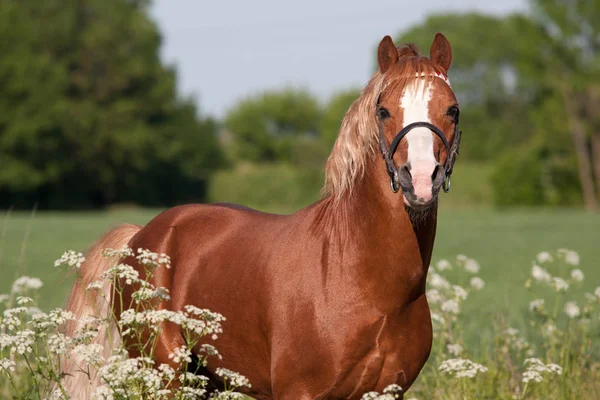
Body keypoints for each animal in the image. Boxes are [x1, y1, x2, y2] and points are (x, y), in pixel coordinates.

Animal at [62, 32, 464, 398]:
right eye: (383, 111)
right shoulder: (298, 392)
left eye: (453, 110)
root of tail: (141, 235)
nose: (421, 180)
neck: (362, 279)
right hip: (165, 376)